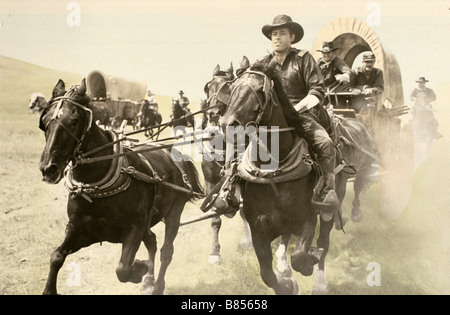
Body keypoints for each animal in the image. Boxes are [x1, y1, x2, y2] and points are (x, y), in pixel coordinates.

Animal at [37, 79, 203, 296]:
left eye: (74, 120)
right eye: (45, 120)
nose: (48, 168)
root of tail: (174, 153)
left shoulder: (135, 228)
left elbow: (123, 269)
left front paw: (140, 268)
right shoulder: (80, 229)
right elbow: (56, 256)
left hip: (174, 212)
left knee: (166, 251)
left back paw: (156, 285)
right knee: (152, 241)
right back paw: (149, 280)